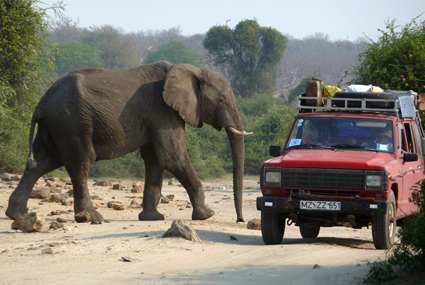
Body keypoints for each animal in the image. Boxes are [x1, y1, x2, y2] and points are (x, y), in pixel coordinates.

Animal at [4, 61, 250, 223]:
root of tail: (40, 105)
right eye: (221, 100)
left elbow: (155, 161)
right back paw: (92, 218)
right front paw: (206, 216)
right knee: (80, 163)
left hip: (56, 126)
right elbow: (173, 158)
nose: (240, 220)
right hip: (72, 123)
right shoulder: (163, 111)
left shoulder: (154, 116)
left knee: (41, 162)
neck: (193, 70)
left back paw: (17, 215)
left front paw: (152, 218)